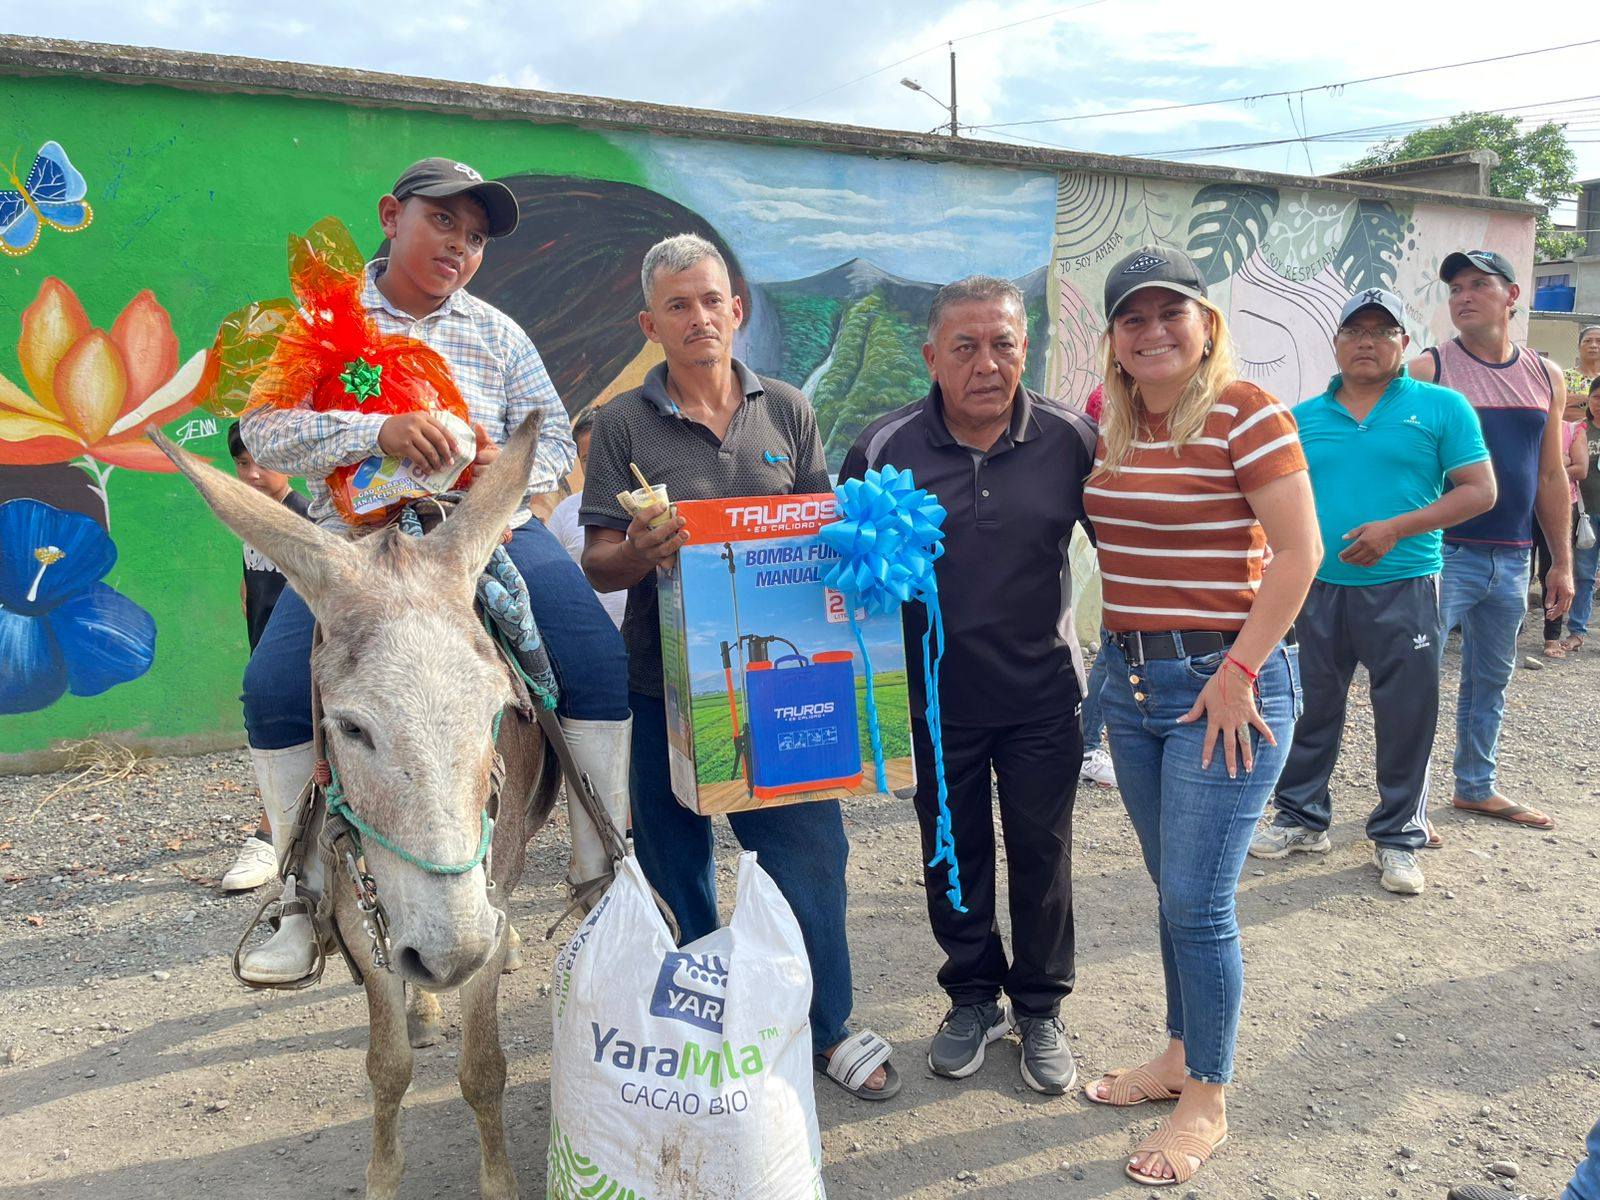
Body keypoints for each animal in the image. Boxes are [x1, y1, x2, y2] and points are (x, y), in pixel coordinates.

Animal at [154, 414, 561, 1199]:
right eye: (349, 727)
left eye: (500, 710)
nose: (451, 950)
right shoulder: (352, 909)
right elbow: (387, 1068)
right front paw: (381, 1177)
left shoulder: (487, 889)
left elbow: (484, 1069)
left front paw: (498, 1180)